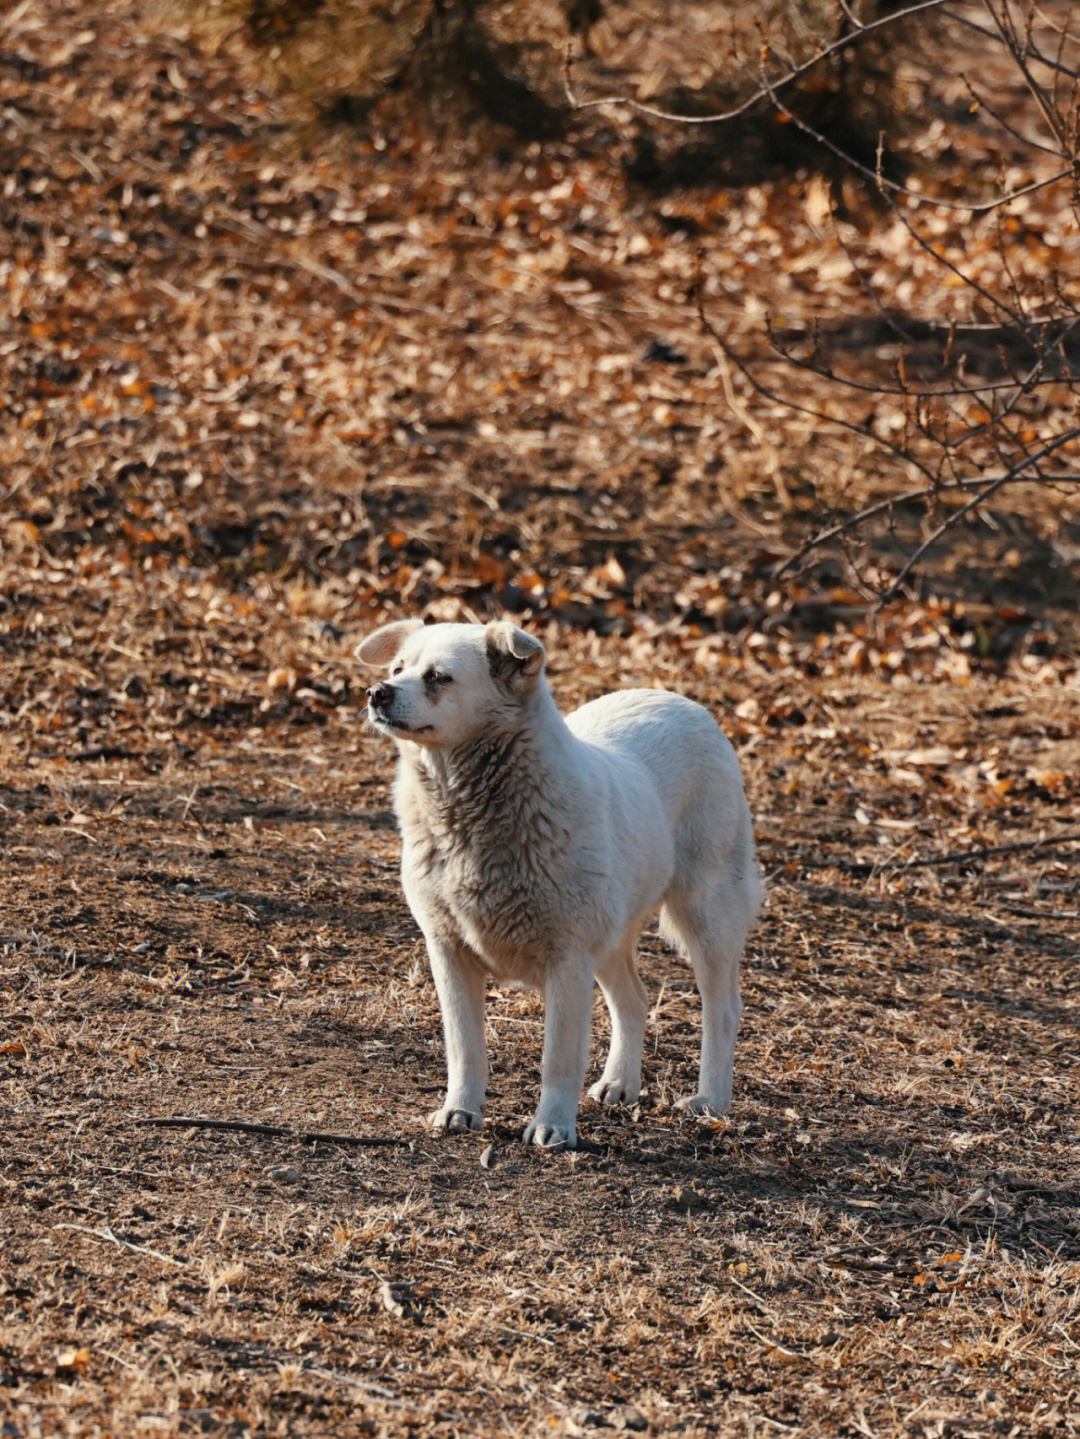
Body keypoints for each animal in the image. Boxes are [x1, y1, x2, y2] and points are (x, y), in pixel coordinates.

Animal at [356, 624, 759, 1151]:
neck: (468, 821)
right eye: (397, 668)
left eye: (438, 677)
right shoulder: (448, 951)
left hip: (704, 916)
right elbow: (464, 1047)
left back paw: (710, 1100)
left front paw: (553, 1128)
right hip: (611, 937)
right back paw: (620, 1083)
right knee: (634, 1001)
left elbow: (559, 1058)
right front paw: (460, 1111)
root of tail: (684, 702)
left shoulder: (567, 959)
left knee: (723, 1009)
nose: (376, 693)